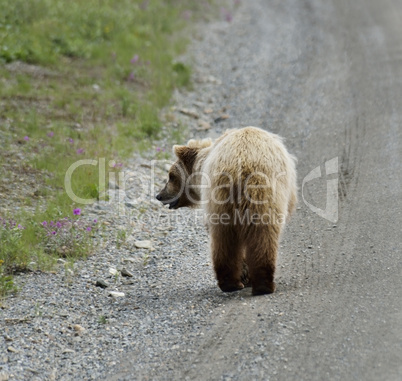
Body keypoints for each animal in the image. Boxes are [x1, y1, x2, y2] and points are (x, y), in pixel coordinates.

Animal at [155, 126, 296, 296]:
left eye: (171, 176)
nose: (159, 195)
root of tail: (241, 165)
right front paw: (246, 275)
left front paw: (245, 275)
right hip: (257, 196)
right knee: (257, 236)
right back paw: (257, 284)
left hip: (228, 199)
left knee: (225, 239)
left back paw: (237, 283)